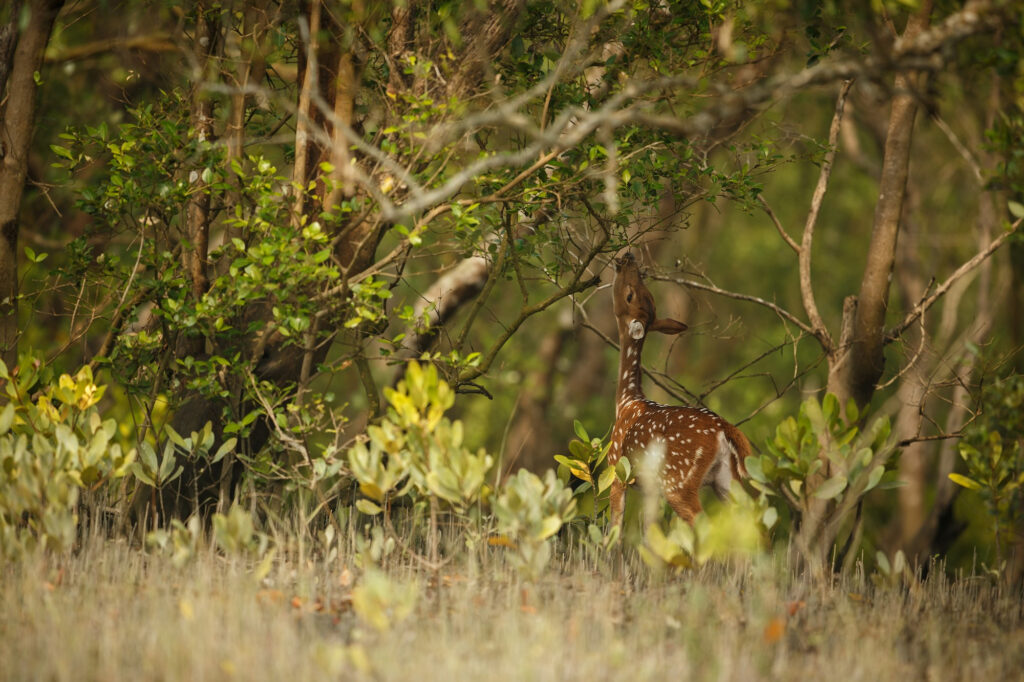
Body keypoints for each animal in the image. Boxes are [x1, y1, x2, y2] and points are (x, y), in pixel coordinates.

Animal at [606, 251, 753, 522]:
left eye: (629, 295)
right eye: (643, 291)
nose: (629, 257)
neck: (626, 401)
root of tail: (724, 429)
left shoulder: (616, 469)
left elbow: (615, 526)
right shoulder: (649, 488)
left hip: (678, 480)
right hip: (725, 479)